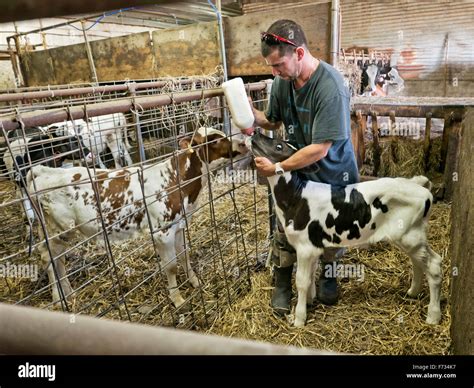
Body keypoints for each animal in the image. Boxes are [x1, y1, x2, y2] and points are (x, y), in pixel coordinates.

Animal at [28, 127, 248, 306]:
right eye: (214, 140)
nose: (243, 143)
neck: (178, 180)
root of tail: (43, 170)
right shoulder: (162, 232)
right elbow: (171, 266)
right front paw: (177, 299)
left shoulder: (179, 225)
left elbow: (184, 255)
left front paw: (194, 282)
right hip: (57, 229)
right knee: (48, 259)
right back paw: (58, 299)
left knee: (58, 260)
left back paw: (68, 293)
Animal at [250, 133, 442, 328]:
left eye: (279, 146)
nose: (256, 133)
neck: (296, 197)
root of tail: (418, 185)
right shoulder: (313, 246)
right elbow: (310, 275)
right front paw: (310, 301)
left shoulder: (305, 247)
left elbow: (302, 281)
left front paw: (299, 318)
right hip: (411, 236)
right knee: (417, 262)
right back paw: (413, 292)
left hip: (410, 236)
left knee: (434, 265)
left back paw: (433, 316)